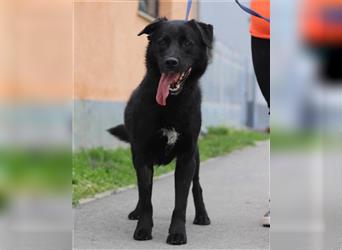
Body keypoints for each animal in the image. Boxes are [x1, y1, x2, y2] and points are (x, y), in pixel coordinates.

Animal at [108, 17, 212, 244]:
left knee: (197, 187)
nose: (171, 62)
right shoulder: (142, 157)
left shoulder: (186, 158)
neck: (171, 103)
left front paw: (177, 233)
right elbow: (146, 197)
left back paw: (202, 215)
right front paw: (143, 228)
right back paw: (136, 212)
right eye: (162, 42)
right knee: (142, 192)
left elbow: (181, 203)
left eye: (187, 43)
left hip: (196, 158)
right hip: (136, 155)